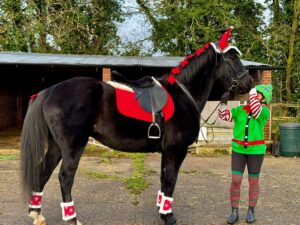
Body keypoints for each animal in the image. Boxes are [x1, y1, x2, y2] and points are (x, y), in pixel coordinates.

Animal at [20, 30, 253, 225]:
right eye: (232, 58)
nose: (249, 82)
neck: (182, 94)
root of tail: (50, 91)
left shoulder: (166, 152)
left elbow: (164, 179)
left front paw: (162, 210)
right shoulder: (177, 150)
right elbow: (171, 180)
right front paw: (168, 216)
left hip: (56, 146)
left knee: (43, 172)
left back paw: (37, 213)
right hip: (72, 146)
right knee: (65, 177)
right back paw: (72, 218)